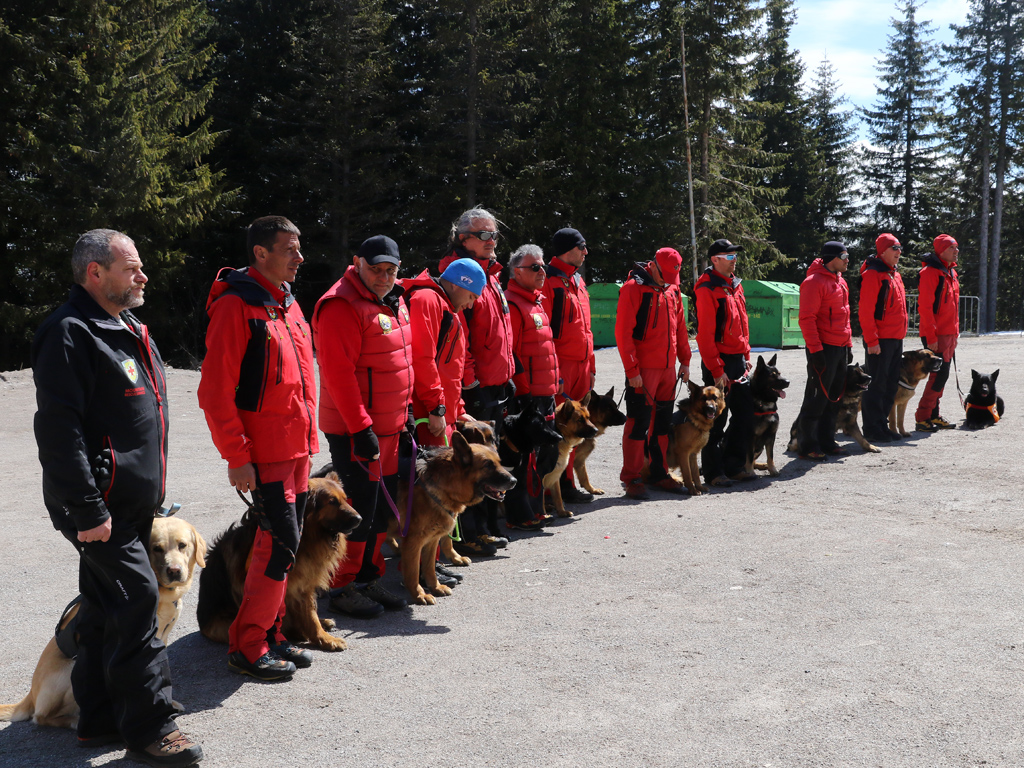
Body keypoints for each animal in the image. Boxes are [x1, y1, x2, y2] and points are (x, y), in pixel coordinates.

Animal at [0, 520, 207, 729]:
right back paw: (76, 721)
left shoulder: (161, 638)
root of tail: (30, 696)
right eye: (157, 548)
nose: (174, 571)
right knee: (41, 717)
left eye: (182, 545)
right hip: (70, 670)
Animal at [197, 479, 362, 651]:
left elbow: (310, 613)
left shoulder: (303, 585)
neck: (305, 535)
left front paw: (321, 635)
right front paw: (323, 639)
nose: (360, 519)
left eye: (345, 499)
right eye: (332, 502)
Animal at [395, 434, 516, 606]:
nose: (514, 481)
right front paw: (420, 595)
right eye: (487, 465)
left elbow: (430, 567)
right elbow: (413, 572)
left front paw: (436, 587)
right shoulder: (413, 542)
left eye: (499, 462)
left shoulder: (431, 541)